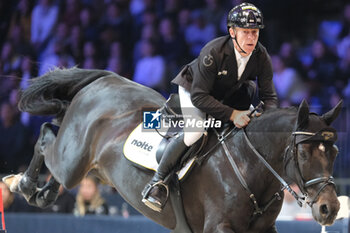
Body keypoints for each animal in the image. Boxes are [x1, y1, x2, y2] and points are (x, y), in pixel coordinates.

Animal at [4, 68, 340, 232]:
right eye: (304, 153)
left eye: (334, 152)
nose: (331, 209)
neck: (250, 166)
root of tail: (105, 80)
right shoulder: (219, 226)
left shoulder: (264, 230)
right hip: (72, 161)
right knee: (46, 140)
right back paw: (23, 184)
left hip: (90, 168)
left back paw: (43, 193)